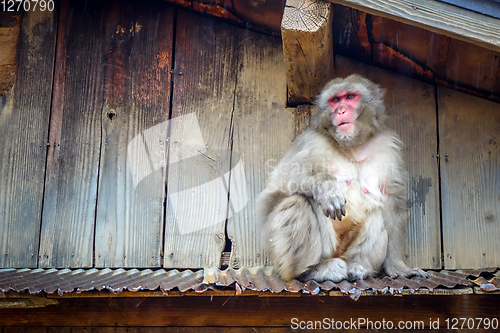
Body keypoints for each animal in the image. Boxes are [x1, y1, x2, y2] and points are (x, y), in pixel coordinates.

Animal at [258, 74, 426, 280]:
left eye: (350, 96)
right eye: (335, 100)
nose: (340, 110)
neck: (352, 146)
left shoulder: (388, 149)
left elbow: (393, 204)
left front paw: (398, 267)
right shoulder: (312, 141)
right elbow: (283, 181)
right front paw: (327, 189)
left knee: (377, 211)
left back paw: (356, 265)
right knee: (298, 201)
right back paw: (311, 270)